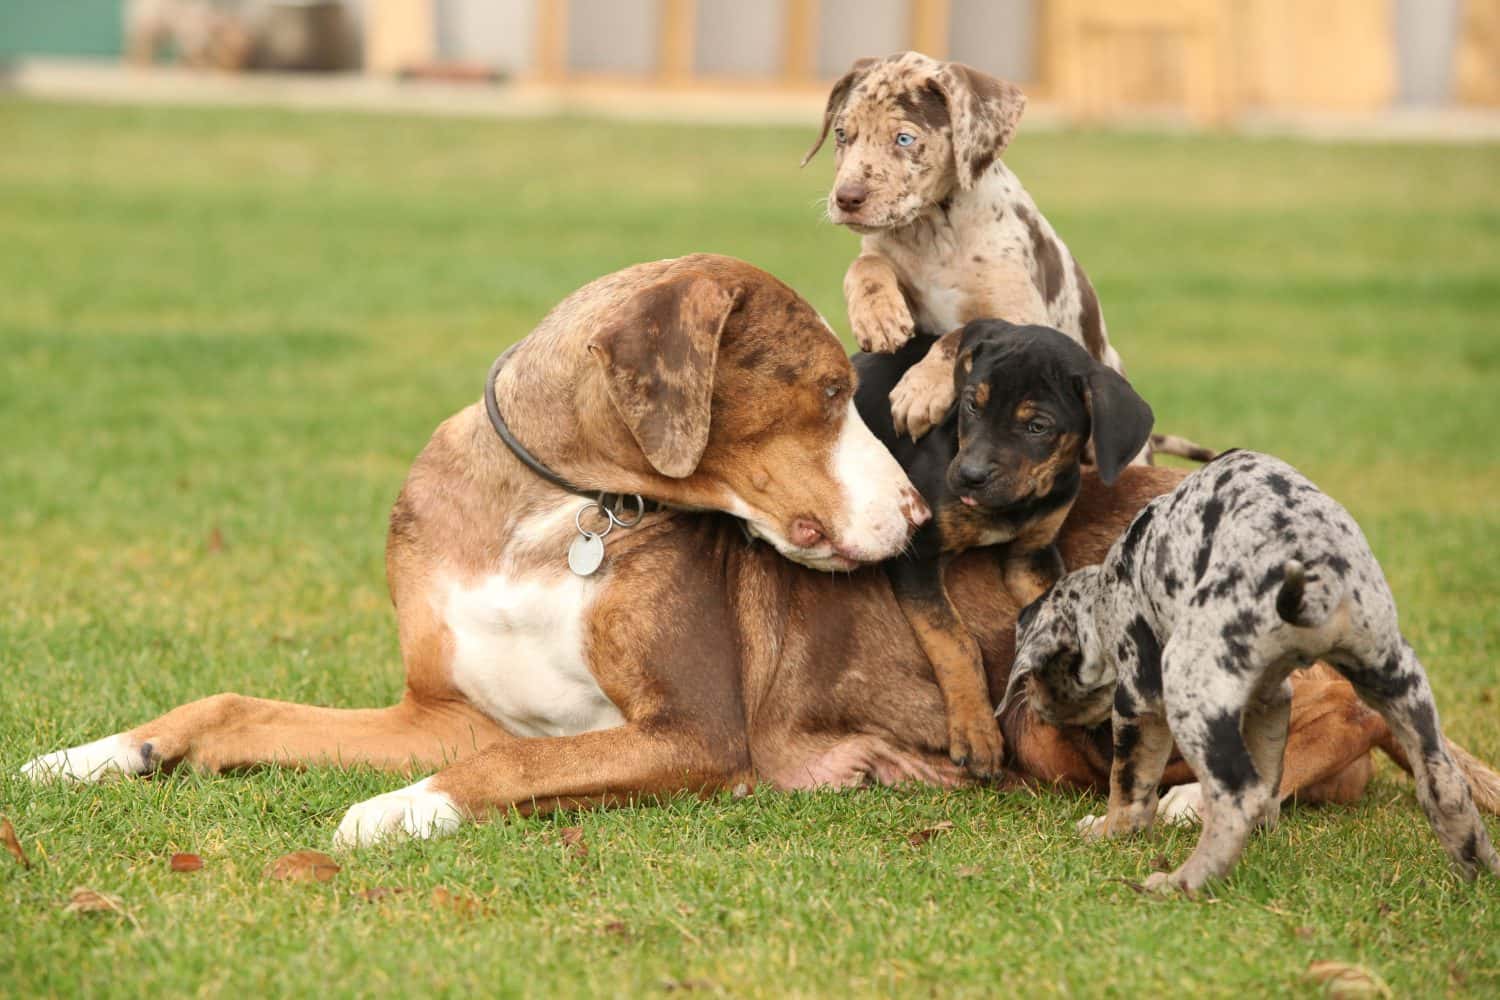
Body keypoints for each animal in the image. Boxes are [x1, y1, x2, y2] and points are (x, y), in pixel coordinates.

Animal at [810, 51, 1206, 464]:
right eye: (842, 135)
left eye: (904, 138)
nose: (846, 198)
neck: (933, 234)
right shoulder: (886, 261)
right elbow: (864, 264)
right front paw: (878, 316)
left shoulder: (1023, 316)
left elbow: (961, 331)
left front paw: (920, 389)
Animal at [852, 320, 1152, 779]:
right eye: (971, 406)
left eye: (1037, 427)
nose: (969, 476)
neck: (1013, 506)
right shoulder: (916, 557)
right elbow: (955, 642)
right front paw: (976, 731)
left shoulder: (1032, 554)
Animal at [1008, 449, 1500, 893]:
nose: (1035, 708)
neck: (1108, 587)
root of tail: (1320, 581)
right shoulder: (1272, 699)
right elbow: (1269, 774)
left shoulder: (1139, 702)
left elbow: (1129, 786)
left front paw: (1107, 831)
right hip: (1401, 685)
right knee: (1445, 785)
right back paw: (1479, 872)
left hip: (1188, 691)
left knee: (1235, 796)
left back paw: (1182, 882)